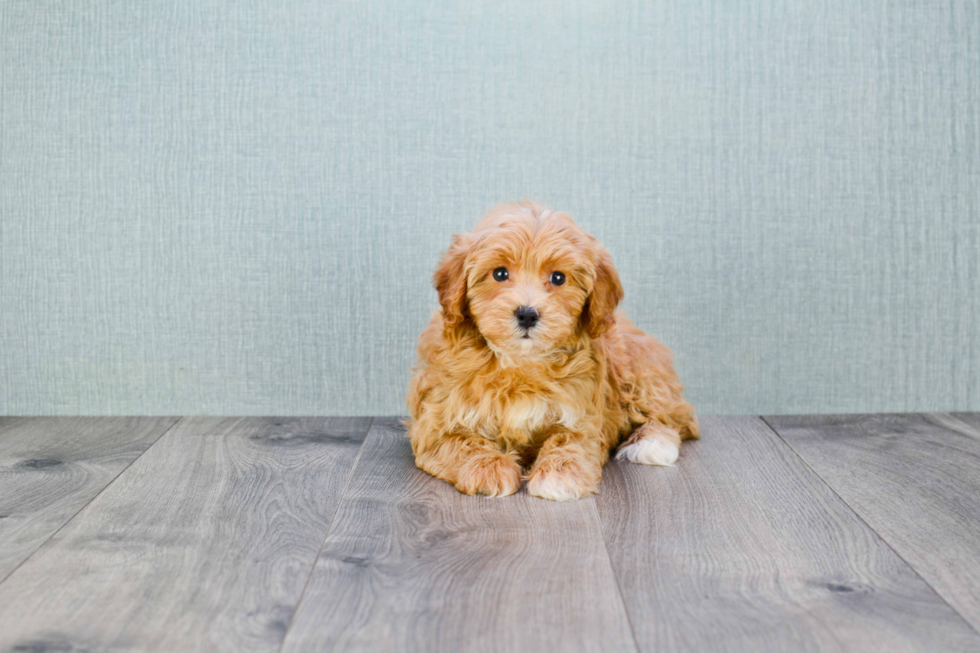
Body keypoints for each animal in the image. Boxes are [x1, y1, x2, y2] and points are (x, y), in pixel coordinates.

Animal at [406, 201, 696, 502]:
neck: (520, 362)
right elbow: (461, 442)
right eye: (500, 273)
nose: (527, 314)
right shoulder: (436, 421)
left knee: (674, 415)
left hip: (639, 369)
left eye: (558, 278)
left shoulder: (582, 415)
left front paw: (559, 475)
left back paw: (652, 443)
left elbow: (569, 439)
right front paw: (489, 468)